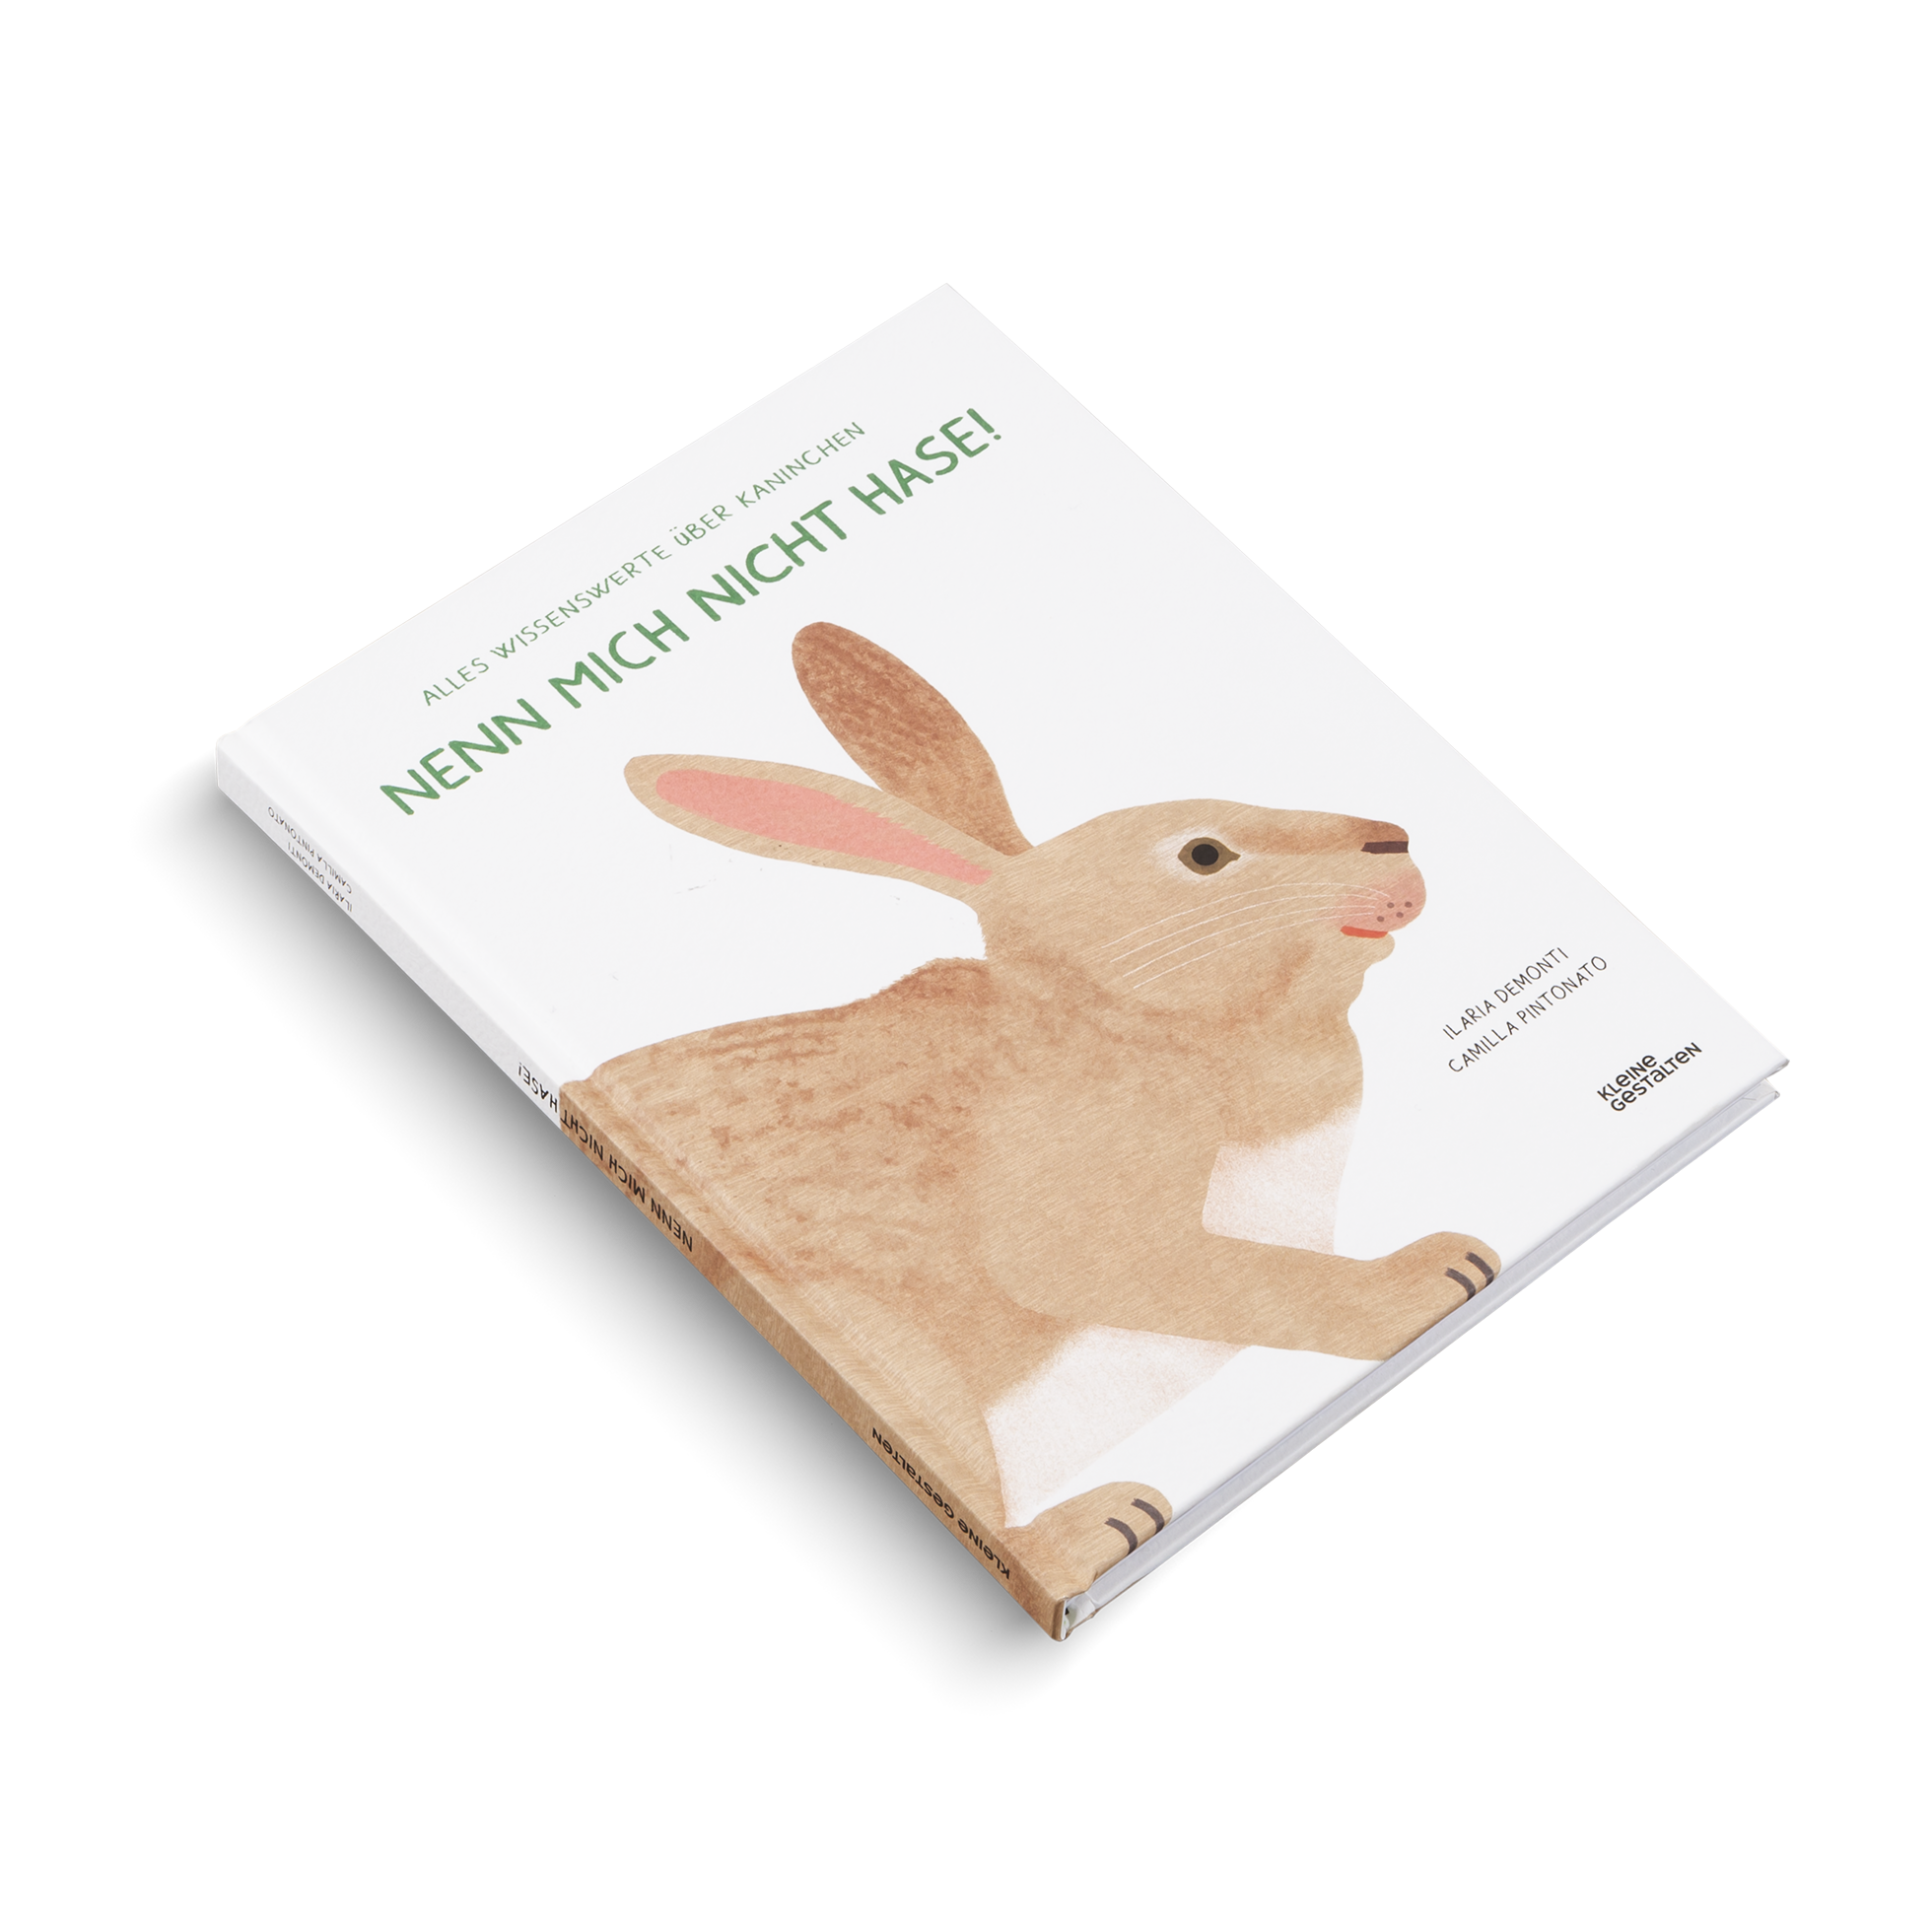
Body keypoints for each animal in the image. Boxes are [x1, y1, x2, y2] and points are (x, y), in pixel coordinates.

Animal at [564, 621, 1500, 1607]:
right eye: (1204, 855)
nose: (1391, 840)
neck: (1113, 1012)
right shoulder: (1089, 1209)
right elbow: (1235, 1282)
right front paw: (1434, 1277)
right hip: (909, 1369)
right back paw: (1102, 1525)